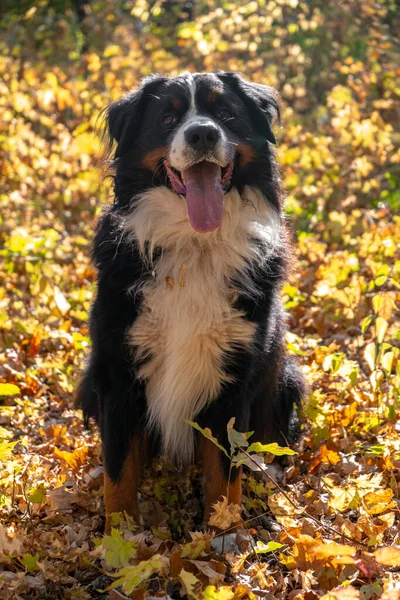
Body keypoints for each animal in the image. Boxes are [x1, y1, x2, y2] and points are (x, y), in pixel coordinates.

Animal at [76, 71, 304, 536]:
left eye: (226, 114)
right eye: (167, 118)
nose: (202, 133)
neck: (193, 245)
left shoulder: (234, 375)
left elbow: (225, 470)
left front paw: (223, 535)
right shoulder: (118, 370)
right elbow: (119, 468)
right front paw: (120, 538)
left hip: (283, 374)